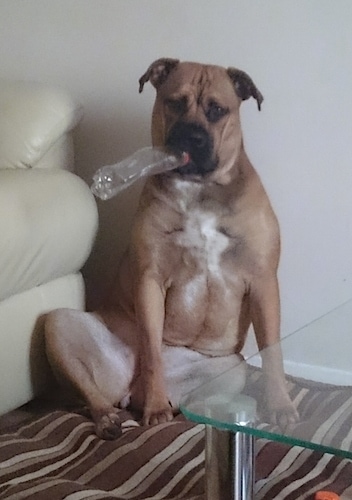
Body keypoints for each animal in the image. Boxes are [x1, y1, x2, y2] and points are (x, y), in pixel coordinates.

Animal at [43, 58, 296, 440]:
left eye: (217, 110)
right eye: (174, 102)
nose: (192, 135)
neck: (199, 189)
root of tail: (126, 392)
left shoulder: (263, 281)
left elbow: (273, 353)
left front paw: (279, 405)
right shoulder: (151, 279)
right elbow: (151, 350)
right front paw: (154, 406)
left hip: (232, 369)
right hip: (59, 323)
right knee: (93, 393)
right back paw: (113, 417)